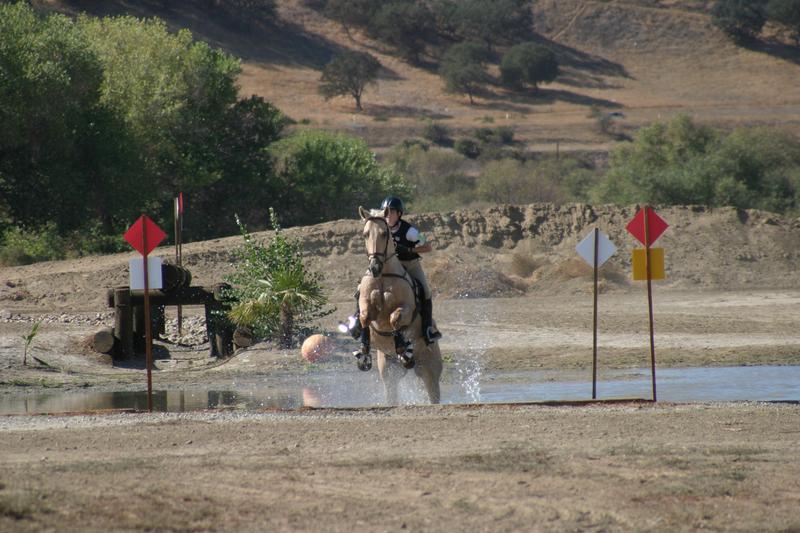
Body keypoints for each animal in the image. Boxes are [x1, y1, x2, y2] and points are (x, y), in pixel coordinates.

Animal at [355, 206, 443, 404]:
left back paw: (407, 354)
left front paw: (402, 346)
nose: (374, 268)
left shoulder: (407, 309)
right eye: (365, 234)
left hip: (430, 369)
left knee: (433, 394)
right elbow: (364, 317)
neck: (384, 276)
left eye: (383, 233)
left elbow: (395, 319)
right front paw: (364, 353)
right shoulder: (366, 305)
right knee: (391, 394)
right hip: (388, 371)